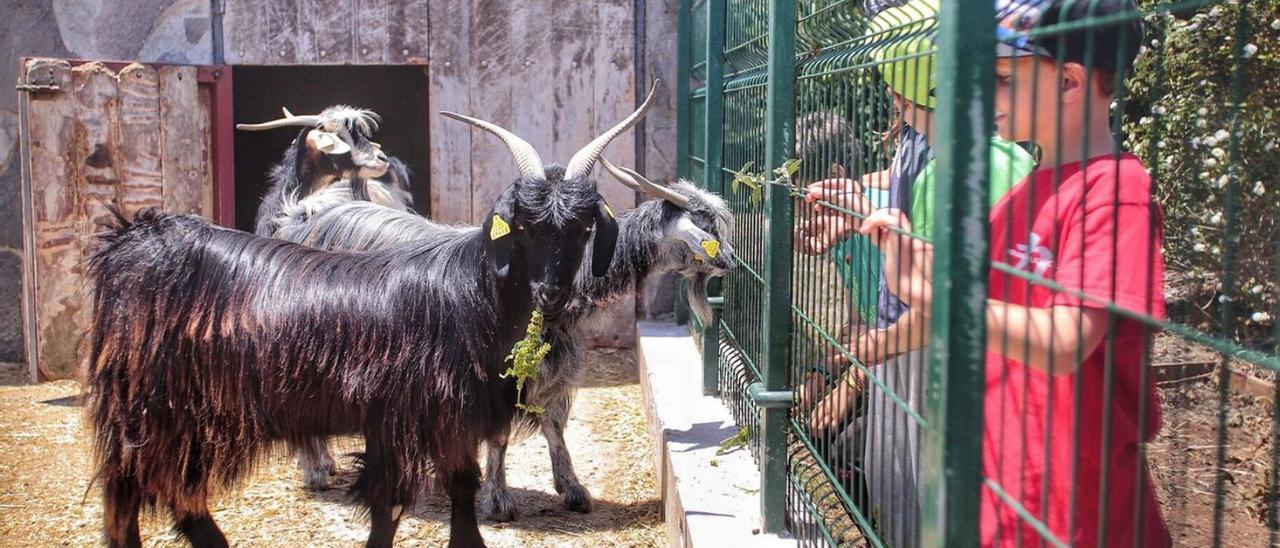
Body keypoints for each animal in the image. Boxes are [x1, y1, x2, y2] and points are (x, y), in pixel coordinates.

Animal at [85, 95, 655, 548]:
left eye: (583, 227)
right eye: (522, 225)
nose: (551, 293)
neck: (468, 293)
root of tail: (132, 238)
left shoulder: (453, 417)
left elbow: (465, 485)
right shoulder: (402, 415)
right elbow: (392, 504)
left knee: (153, 492)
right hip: (153, 406)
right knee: (136, 491)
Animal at [264, 147, 737, 519]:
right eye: (704, 226)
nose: (731, 263)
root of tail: (299, 217)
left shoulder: (552, 364)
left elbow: (554, 424)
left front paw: (572, 489)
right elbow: (501, 433)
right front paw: (498, 498)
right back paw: (316, 470)